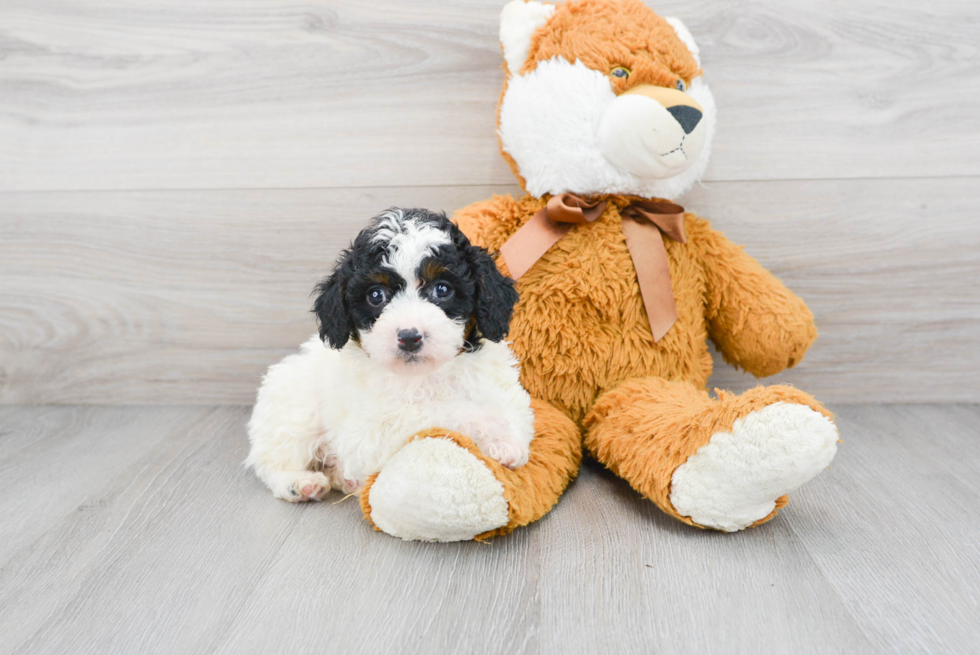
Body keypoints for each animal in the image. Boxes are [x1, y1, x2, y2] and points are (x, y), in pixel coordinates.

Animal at [245, 209, 536, 502]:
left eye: (442, 289)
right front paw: (495, 432)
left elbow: (513, 411)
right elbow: (449, 412)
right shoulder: (379, 428)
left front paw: (508, 442)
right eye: (376, 295)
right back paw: (299, 483)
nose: (409, 337)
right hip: (293, 413)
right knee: (273, 461)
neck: (427, 375)